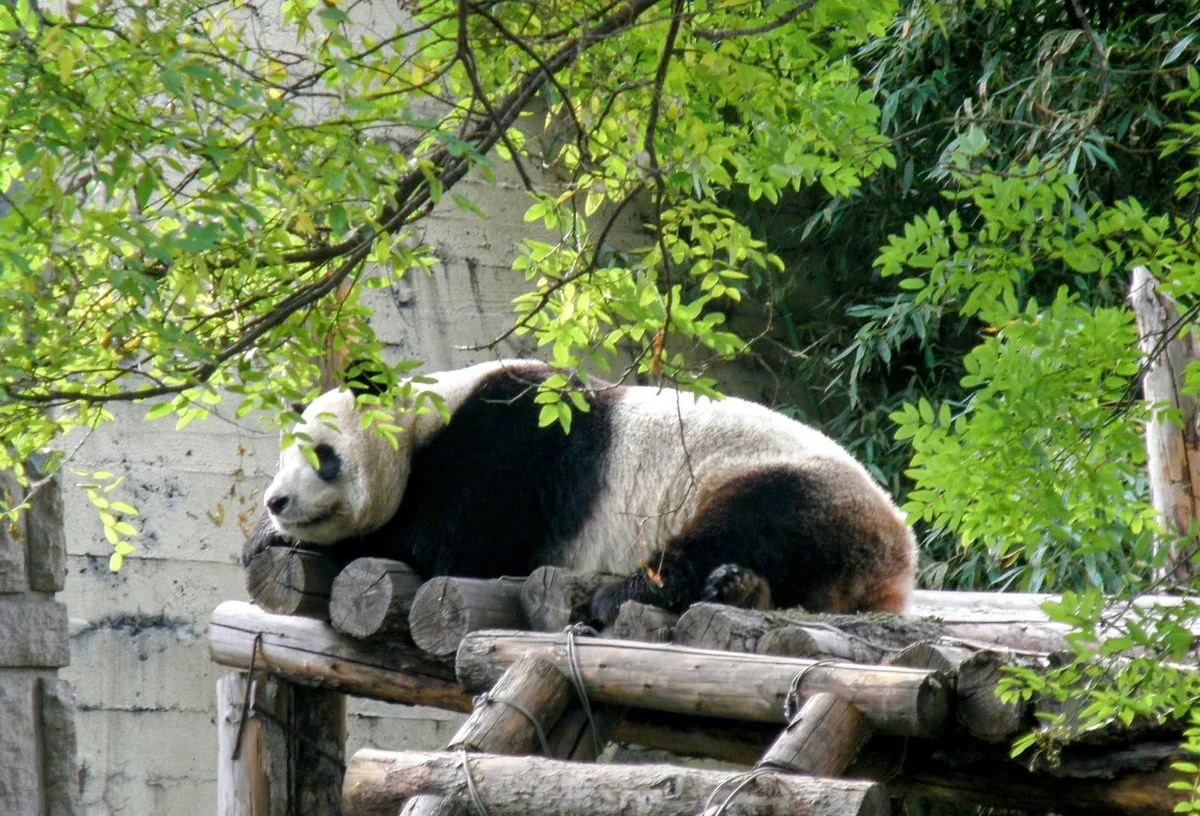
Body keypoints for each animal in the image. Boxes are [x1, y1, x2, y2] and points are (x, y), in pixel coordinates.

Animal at [244, 359, 916, 624]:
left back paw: (629, 593)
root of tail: (898, 560)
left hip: (784, 480)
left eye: (322, 457)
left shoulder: (509, 446)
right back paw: (740, 588)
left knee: (747, 521)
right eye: (281, 458)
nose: (277, 502)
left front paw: (294, 543)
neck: (424, 423)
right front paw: (261, 538)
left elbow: (449, 545)